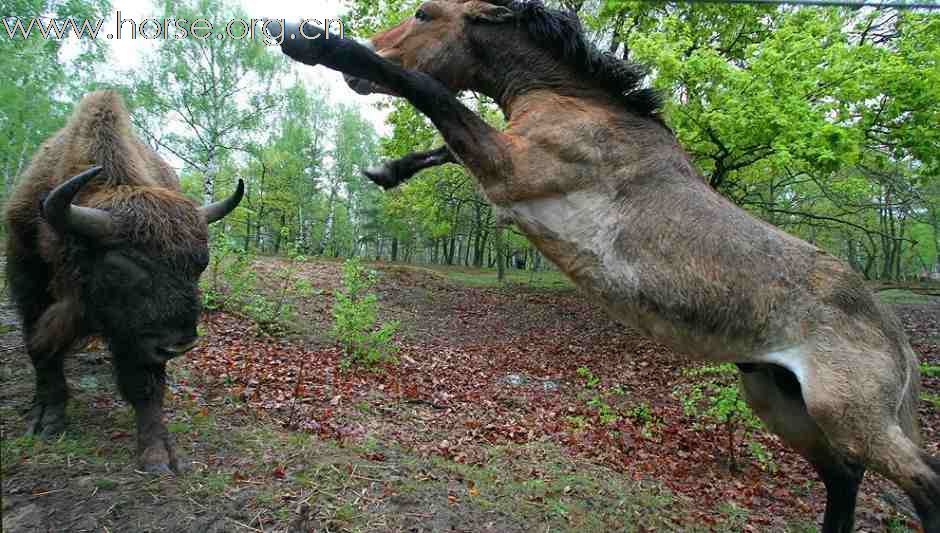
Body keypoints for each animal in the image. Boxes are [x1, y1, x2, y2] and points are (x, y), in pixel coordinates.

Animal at [6, 91, 242, 474]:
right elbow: (41, 351)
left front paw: (158, 455)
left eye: (200, 265)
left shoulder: (136, 336)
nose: (179, 345)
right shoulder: (29, 290)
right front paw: (47, 421)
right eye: (122, 265)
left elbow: (144, 384)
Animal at [276, 2, 936, 528]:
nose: (359, 67)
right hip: (779, 401)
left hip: (847, 415)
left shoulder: (512, 169)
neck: (583, 105)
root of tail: (894, 334)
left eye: (423, 14)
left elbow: (431, 92)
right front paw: (387, 169)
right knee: (845, 478)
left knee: (923, 481)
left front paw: (315, 42)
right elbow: (444, 134)